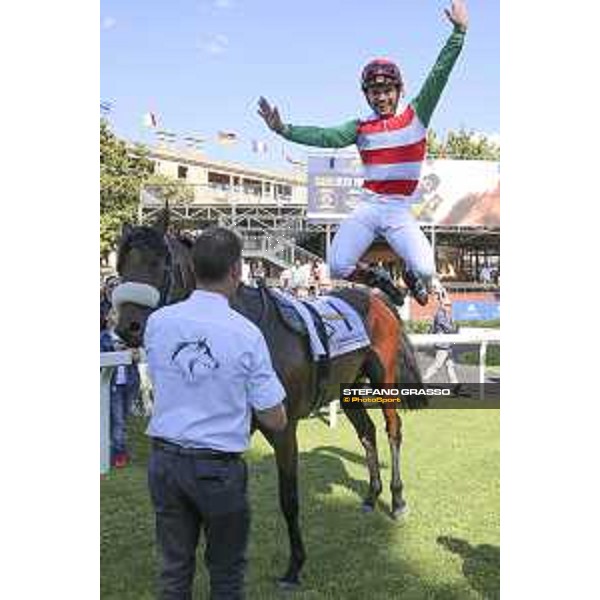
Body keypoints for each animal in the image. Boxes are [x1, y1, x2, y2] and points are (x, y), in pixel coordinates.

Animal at [111, 214, 422, 584]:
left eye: (159, 263)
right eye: (121, 265)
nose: (126, 327)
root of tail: (375, 300)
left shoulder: (283, 429)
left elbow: (288, 498)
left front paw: (295, 564)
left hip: (383, 380)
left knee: (393, 429)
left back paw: (398, 500)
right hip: (346, 389)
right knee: (367, 432)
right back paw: (372, 495)